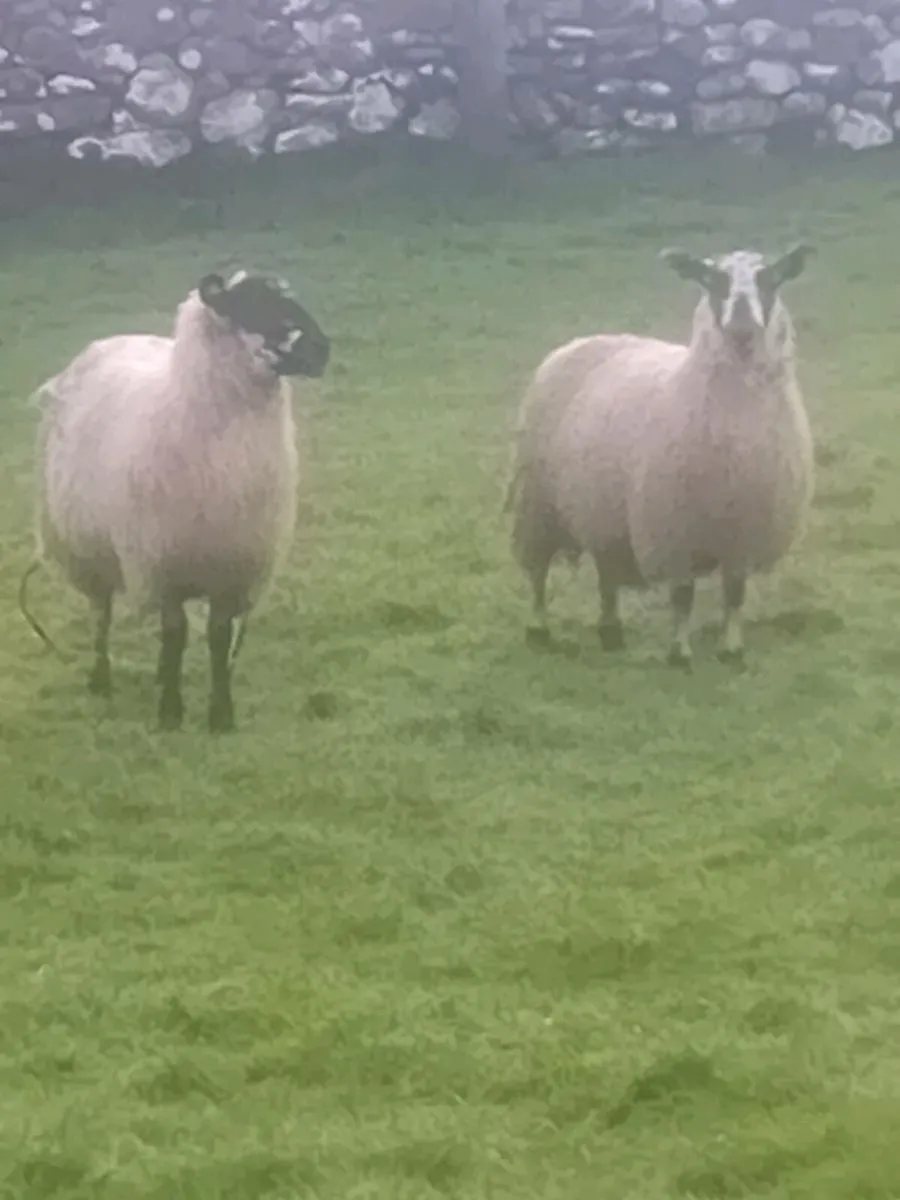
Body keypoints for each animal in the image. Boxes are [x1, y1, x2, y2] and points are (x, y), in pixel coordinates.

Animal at [20, 268, 331, 732]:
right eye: (252, 302)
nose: (322, 349)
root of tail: (113, 339)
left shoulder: (231, 567)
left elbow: (218, 638)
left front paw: (221, 716)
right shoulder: (162, 566)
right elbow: (175, 635)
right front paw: (170, 712)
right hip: (88, 548)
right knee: (101, 613)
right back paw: (101, 679)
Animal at [505, 242, 815, 668]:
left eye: (771, 279)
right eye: (712, 280)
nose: (741, 328)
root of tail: (583, 340)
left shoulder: (744, 529)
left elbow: (735, 593)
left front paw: (731, 649)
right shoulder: (673, 528)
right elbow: (682, 597)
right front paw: (679, 653)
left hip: (604, 507)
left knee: (606, 571)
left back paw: (610, 630)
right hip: (538, 501)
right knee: (537, 569)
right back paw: (539, 628)